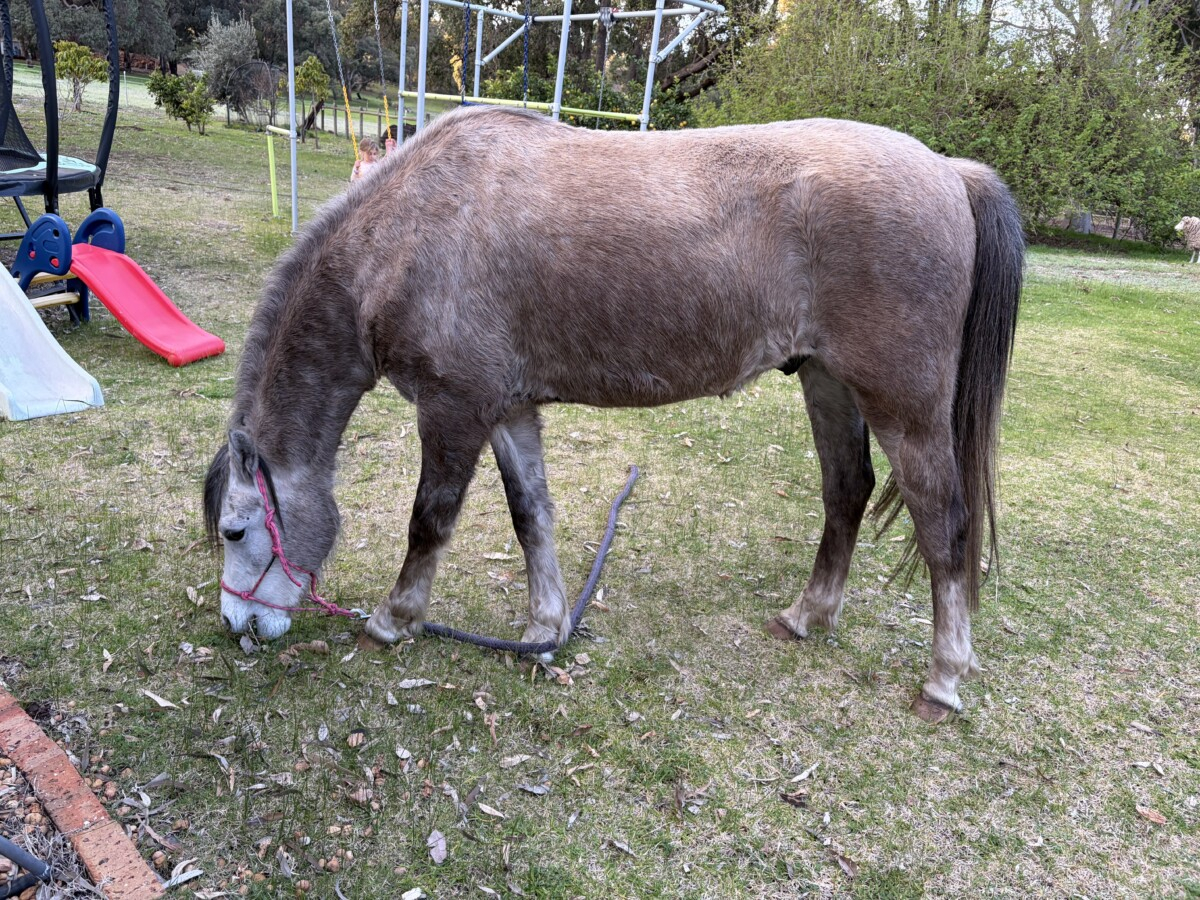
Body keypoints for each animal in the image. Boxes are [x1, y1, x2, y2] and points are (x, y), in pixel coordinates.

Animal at [204, 106, 1023, 722]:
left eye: (235, 530)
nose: (238, 626)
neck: (410, 233)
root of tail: (950, 171)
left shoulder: (454, 409)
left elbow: (429, 520)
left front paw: (392, 621)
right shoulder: (509, 410)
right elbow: (530, 516)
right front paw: (545, 629)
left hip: (904, 406)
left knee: (944, 523)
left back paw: (944, 676)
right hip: (827, 381)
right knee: (846, 491)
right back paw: (807, 615)